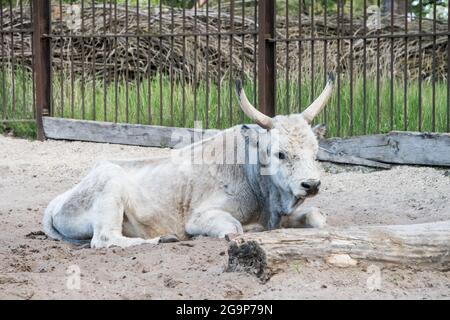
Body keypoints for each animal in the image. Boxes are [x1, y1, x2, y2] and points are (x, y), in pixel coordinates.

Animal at [43, 74, 334, 248]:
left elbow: (318, 217)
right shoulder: (200, 218)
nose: (311, 185)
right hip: (110, 186)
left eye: (315, 151)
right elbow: (235, 228)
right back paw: (162, 239)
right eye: (280, 153)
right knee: (105, 239)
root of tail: (59, 201)